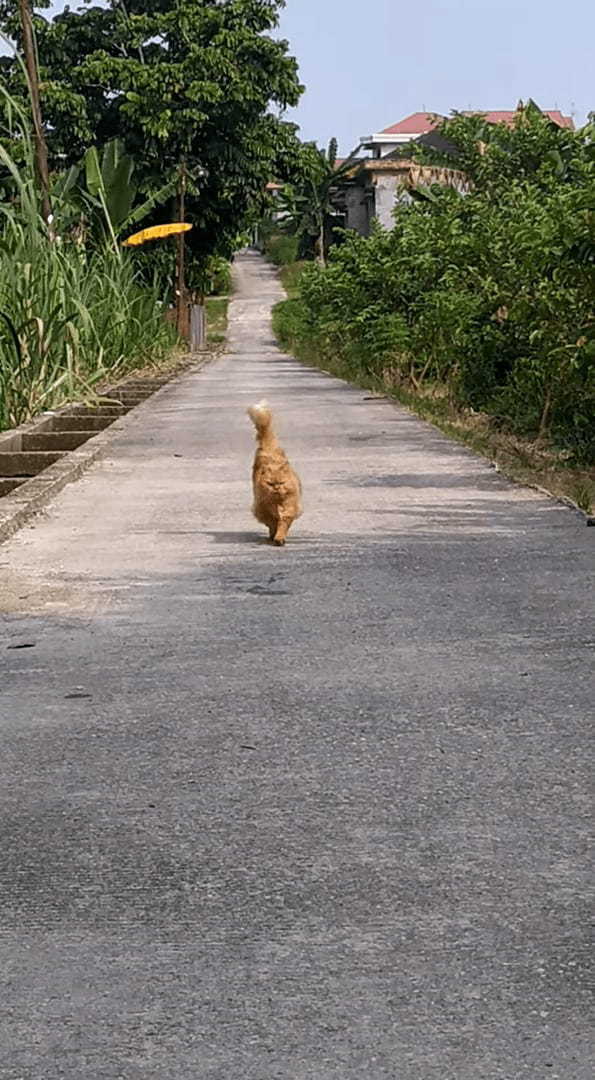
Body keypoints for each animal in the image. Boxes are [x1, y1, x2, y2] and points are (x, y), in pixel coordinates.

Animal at [247, 401, 302, 544]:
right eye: (270, 484)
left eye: (281, 483)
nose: (276, 488)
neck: (277, 502)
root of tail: (269, 447)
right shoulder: (263, 509)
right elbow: (272, 523)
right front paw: (274, 535)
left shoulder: (290, 508)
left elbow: (283, 525)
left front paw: (279, 538)